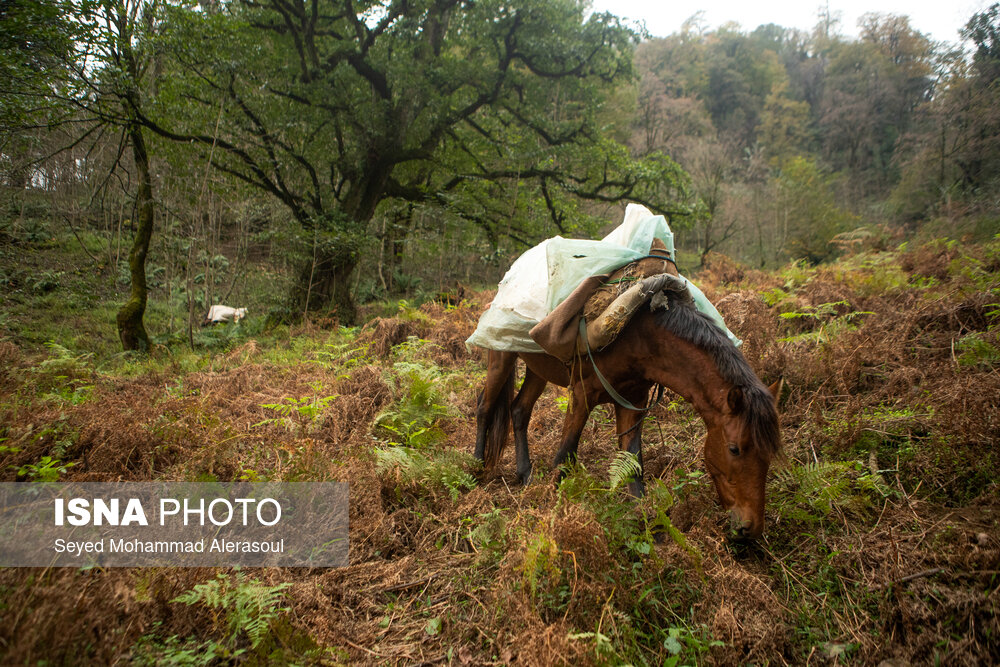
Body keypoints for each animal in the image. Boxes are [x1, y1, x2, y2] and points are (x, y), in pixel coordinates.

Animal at [472, 284, 784, 540]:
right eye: (734, 449)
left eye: (770, 453)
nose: (751, 528)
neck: (640, 335)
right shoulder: (582, 394)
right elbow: (565, 456)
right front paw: (554, 512)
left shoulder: (632, 401)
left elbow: (633, 465)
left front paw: (649, 528)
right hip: (500, 358)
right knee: (485, 408)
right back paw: (476, 468)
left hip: (538, 370)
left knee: (519, 410)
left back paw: (525, 474)